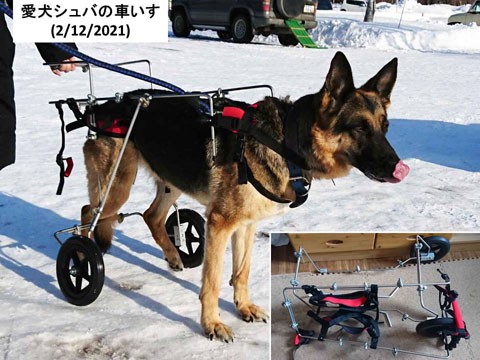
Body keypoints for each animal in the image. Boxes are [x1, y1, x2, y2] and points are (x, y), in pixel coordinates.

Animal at [81, 52, 408, 342]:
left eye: (385, 127)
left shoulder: (246, 224)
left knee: (152, 216)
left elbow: (242, 271)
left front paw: (244, 308)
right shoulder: (220, 224)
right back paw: (83, 260)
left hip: (171, 179)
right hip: (118, 185)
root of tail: (104, 107)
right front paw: (212, 325)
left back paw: (174, 256)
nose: (399, 168)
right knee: (89, 213)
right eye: (359, 128)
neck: (284, 142)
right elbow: (212, 283)